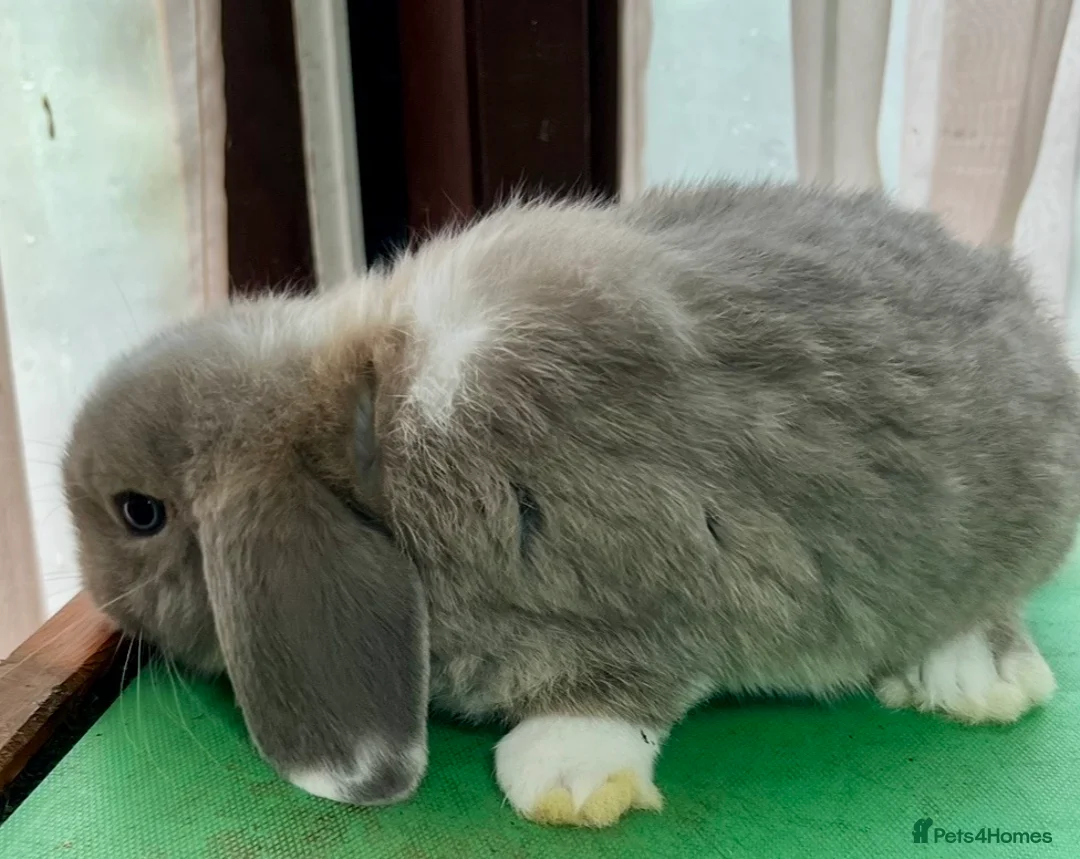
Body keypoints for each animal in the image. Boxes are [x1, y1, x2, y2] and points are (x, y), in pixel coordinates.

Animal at [64, 182, 1080, 828]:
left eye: (138, 512)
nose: (98, 599)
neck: (370, 431)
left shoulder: (657, 567)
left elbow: (632, 680)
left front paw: (566, 773)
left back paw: (975, 679)